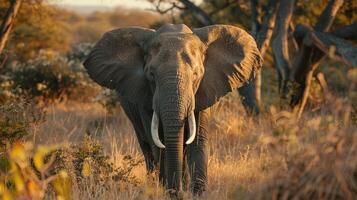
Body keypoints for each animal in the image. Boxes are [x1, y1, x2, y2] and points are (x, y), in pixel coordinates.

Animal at [83, 23, 262, 195]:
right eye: (151, 75)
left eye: (196, 75)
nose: (177, 192)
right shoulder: (144, 97)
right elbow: (158, 141)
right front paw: (167, 191)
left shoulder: (204, 90)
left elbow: (197, 140)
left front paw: (196, 193)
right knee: (147, 147)